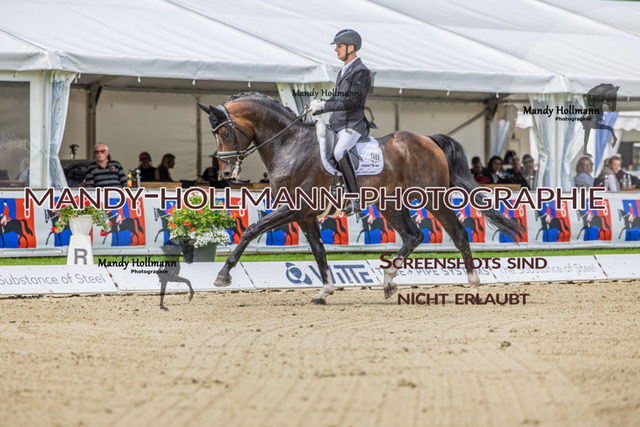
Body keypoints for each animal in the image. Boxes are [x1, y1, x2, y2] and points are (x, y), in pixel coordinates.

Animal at [198, 93, 522, 304]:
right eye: (214, 133)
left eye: (224, 132)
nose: (225, 171)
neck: (289, 145)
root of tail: (429, 140)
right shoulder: (304, 216)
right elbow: (318, 252)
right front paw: (325, 291)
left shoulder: (295, 208)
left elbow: (251, 230)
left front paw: (223, 275)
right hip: (390, 203)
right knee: (413, 235)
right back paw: (389, 281)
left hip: (433, 198)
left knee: (458, 234)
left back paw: (475, 287)